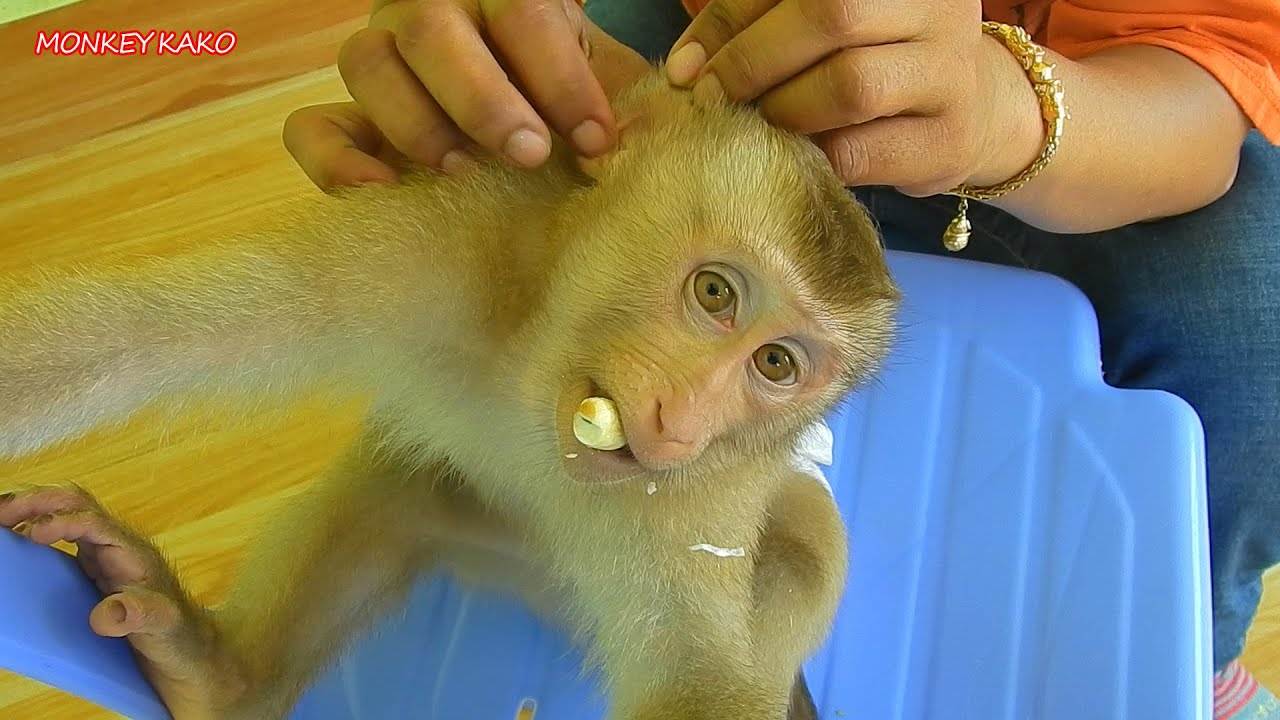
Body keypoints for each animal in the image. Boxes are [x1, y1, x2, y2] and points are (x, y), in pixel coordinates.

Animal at [0, 65, 899, 719]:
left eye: (775, 365)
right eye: (715, 294)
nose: (678, 421)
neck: (531, 364)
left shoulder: (700, 497)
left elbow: (699, 673)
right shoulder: (437, 249)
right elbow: (147, 337)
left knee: (807, 546)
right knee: (398, 482)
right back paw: (220, 676)